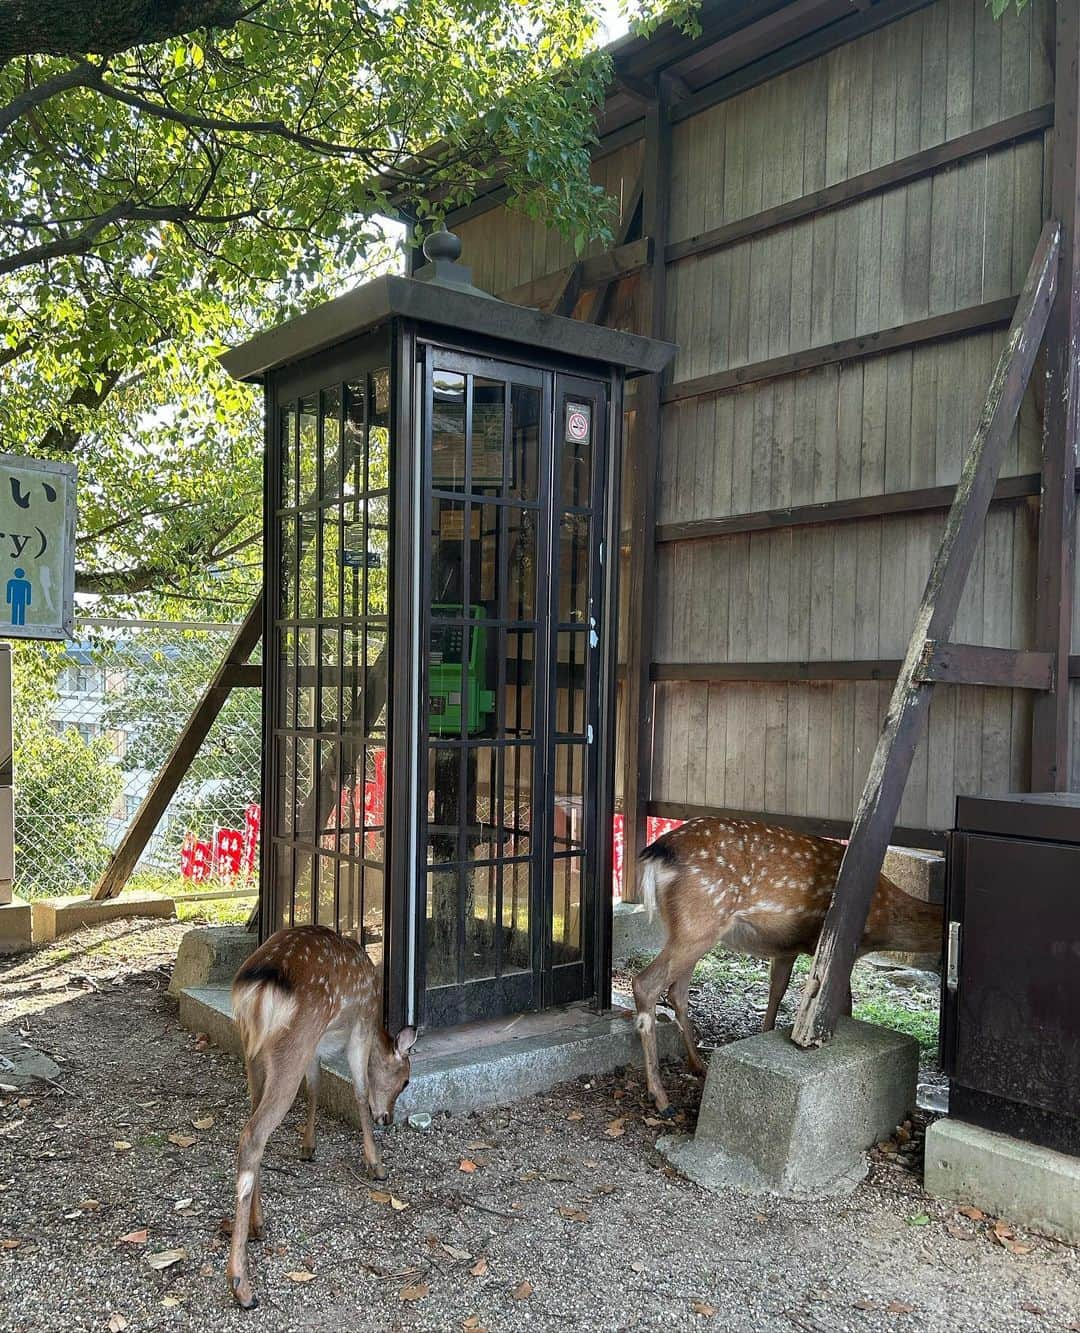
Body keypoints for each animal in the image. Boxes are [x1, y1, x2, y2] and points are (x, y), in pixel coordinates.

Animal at [225, 922, 413, 1306]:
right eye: (405, 1080)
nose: (387, 1118)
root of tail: (259, 988)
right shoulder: (360, 1026)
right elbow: (359, 1090)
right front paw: (376, 1164)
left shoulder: (317, 1046)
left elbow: (314, 1085)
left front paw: (308, 1148)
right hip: (294, 1040)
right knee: (253, 1134)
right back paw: (242, 1285)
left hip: (254, 1050)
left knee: (251, 1127)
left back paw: (258, 1224)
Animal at [626, 810, 938, 1114]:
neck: (886, 916)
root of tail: (658, 850)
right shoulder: (839, 949)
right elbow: (845, 1004)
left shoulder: (786, 950)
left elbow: (776, 991)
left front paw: (762, 1037)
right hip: (700, 920)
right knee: (645, 984)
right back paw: (661, 1097)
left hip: (689, 930)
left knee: (676, 992)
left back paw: (699, 1065)